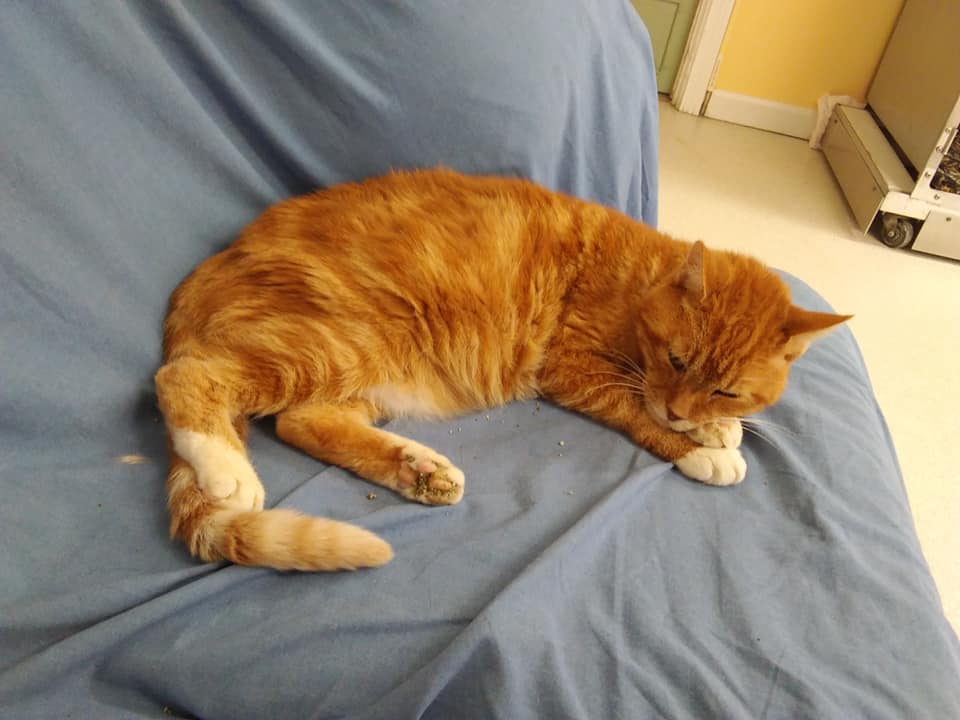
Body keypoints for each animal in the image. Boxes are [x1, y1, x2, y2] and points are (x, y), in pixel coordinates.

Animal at [155, 168, 849, 572]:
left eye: (725, 388)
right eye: (677, 359)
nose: (683, 408)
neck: (642, 280)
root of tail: (210, 267)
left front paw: (715, 428)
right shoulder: (573, 368)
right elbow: (633, 408)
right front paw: (700, 448)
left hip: (365, 373)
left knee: (302, 422)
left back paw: (419, 470)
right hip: (341, 341)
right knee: (187, 378)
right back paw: (226, 470)